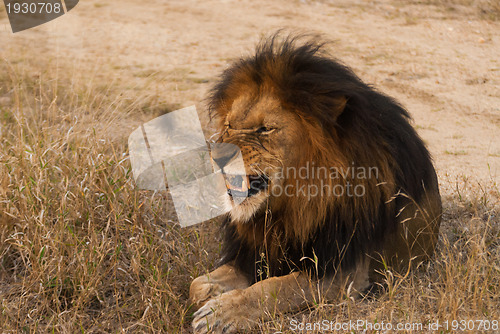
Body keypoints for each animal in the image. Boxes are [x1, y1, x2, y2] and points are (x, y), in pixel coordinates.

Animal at [188, 34, 442, 334]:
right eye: (228, 125)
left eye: (265, 129)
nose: (216, 156)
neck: (293, 205)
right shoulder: (254, 253)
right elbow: (197, 285)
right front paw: (212, 297)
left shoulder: (344, 273)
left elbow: (274, 289)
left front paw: (221, 312)